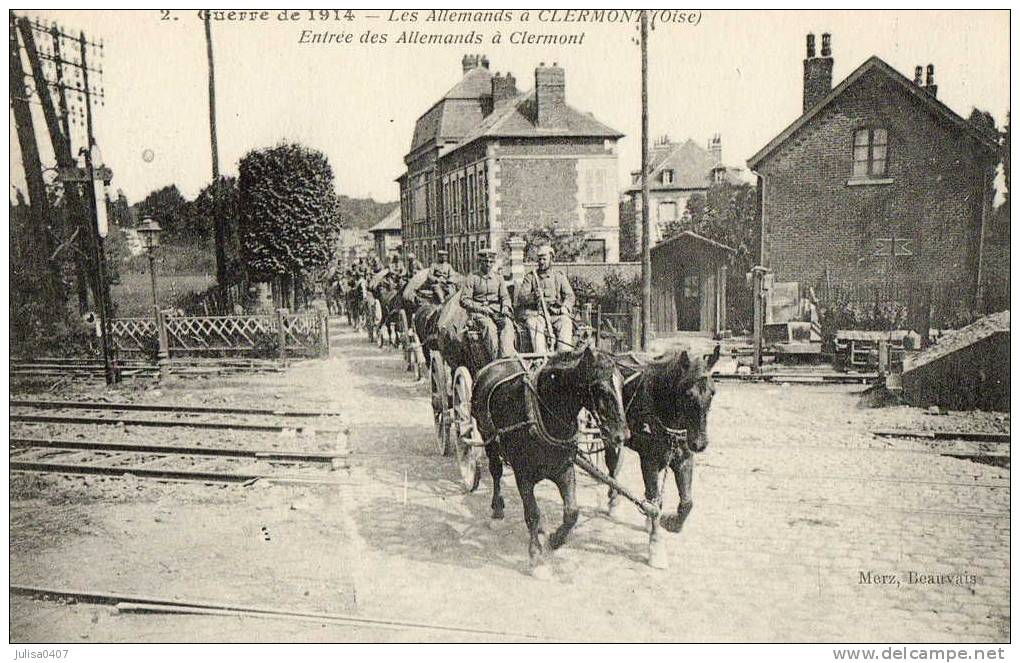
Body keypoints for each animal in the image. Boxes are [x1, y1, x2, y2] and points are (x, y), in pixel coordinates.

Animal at [471, 342, 628, 575]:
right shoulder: (523, 475)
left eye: (622, 384)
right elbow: (532, 513)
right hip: (488, 438)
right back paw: (497, 510)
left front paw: (555, 539)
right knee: (496, 471)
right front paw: (536, 557)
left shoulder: (564, 469)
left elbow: (572, 512)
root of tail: (490, 366)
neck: (542, 415)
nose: (622, 435)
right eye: (600, 389)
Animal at [603, 346, 726, 567]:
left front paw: (671, 522)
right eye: (687, 394)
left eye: (712, 392)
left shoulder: (684, 459)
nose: (699, 443)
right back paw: (613, 502)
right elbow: (655, 503)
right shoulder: (649, 460)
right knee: (612, 469)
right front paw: (656, 546)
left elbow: (687, 502)